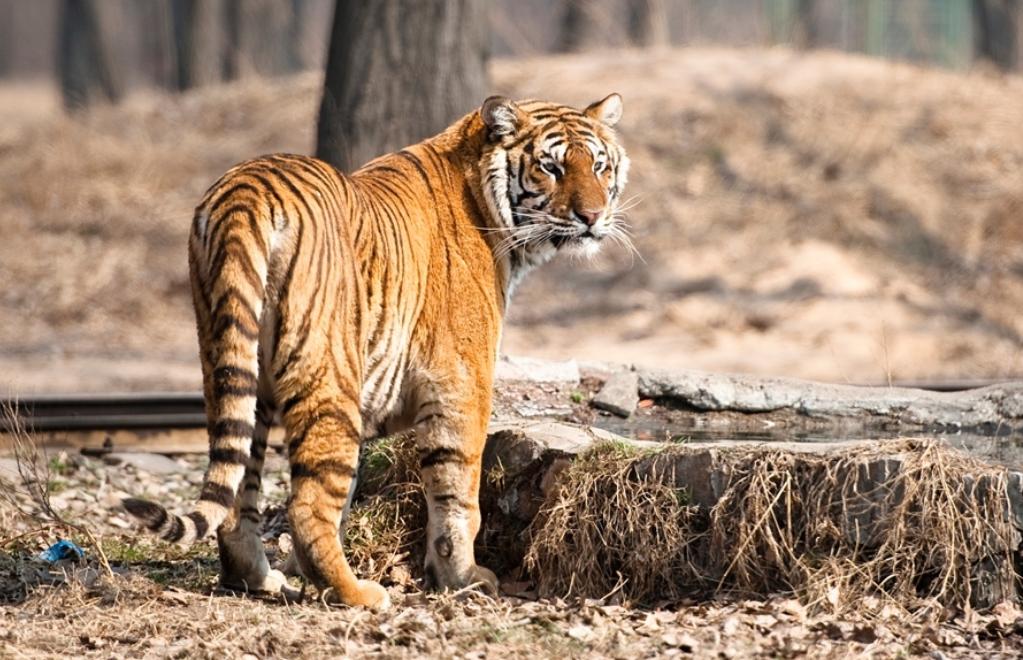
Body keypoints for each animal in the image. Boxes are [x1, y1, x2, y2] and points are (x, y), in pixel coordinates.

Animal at [122, 91, 626, 605]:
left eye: (599, 166)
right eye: (552, 168)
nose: (592, 217)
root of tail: (247, 191)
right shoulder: (463, 381)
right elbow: (458, 489)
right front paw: (464, 578)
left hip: (234, 367)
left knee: (239, 490)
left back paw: (261, 580)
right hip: (328, 375)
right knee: (306, 504)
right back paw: (358, 593)